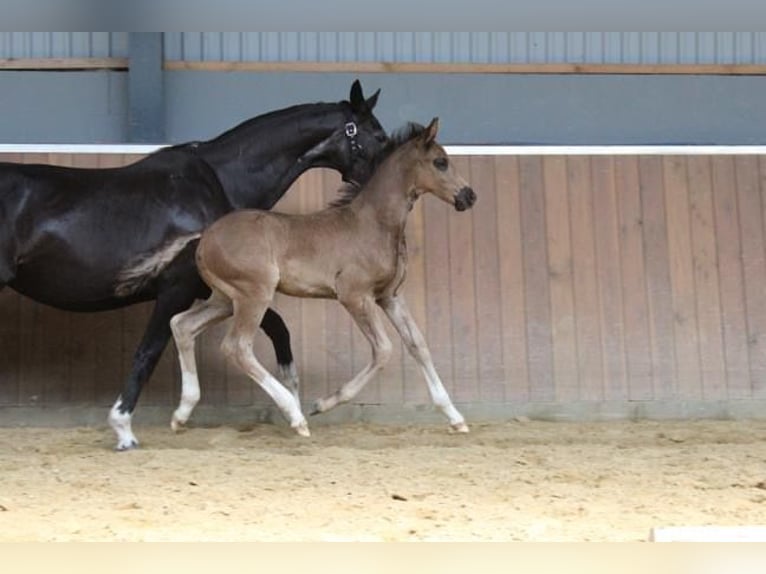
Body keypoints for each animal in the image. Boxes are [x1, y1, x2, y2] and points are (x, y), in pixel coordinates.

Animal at [0, 80, 388, 450]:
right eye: (380, 136)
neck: (217, 182)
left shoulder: (220, 290)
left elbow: (277, 329)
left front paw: (294, 403)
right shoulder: (179, 288)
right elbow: (149, 351)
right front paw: (124, 429)